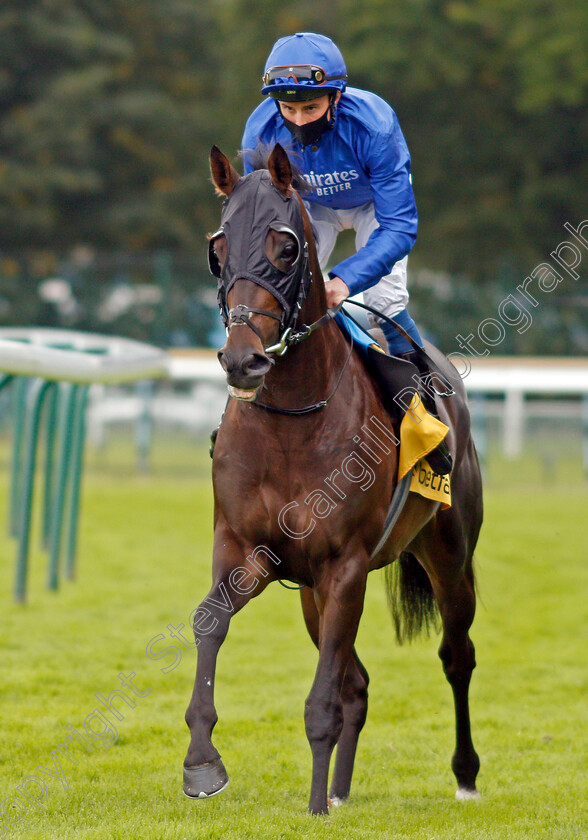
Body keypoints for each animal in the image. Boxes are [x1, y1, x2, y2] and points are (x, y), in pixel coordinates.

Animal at [184, 143, 482, 812]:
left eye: (287, 247)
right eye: (218, 247)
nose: (243, 360)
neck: (291, 422)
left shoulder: (344, 565)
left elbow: (322, 701)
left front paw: (315, 804)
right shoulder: (245, 548)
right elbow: (210, 620)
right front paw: (202, 762)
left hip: (448, 553)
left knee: (456, 655)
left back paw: (464, 775)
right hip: (310, 596)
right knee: (358, 682)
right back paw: (343, 790)